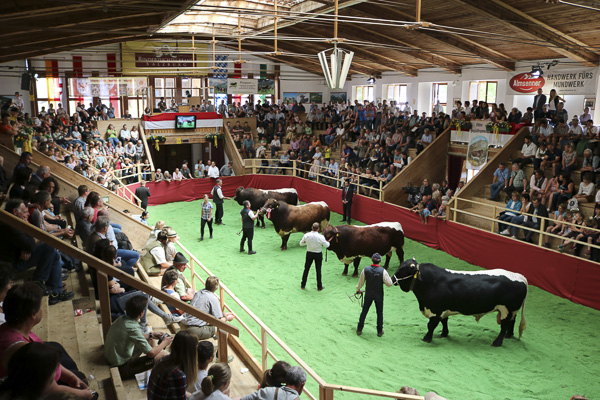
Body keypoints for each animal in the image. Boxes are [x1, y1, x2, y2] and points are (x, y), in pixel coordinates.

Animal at [394, 260, 524, 346]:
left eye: (403, 270)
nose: (393, 279)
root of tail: (521, 277)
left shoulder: (436, 311)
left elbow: (431, 325)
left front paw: (427, 338)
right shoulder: (443, 310)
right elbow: (444, 321)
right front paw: (444, 334)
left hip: (507, 310)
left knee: (504, 325)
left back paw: (497, 342)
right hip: (512, 311)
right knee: (512, 322)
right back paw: (509, 335)